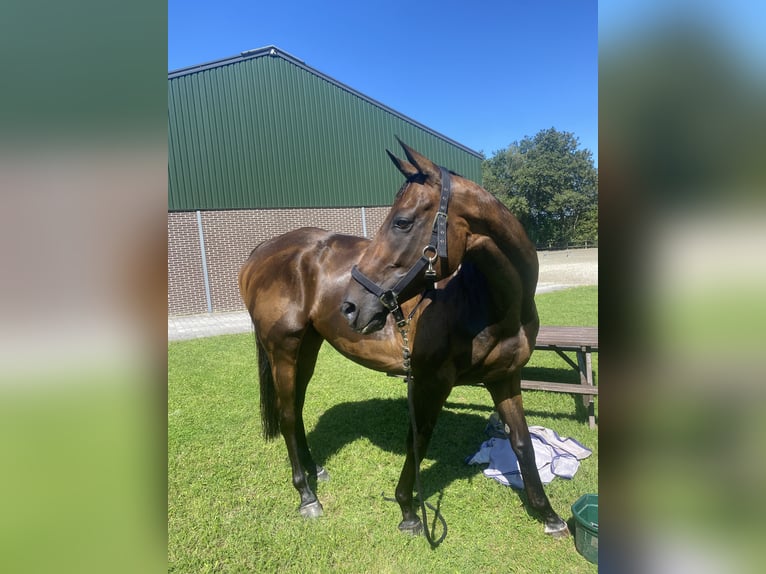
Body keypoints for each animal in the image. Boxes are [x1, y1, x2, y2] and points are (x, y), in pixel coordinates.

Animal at [240, 142, 568, 544]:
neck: (487, 301)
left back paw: (315, 470)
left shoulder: (504, 377)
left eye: (402, 222)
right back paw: (306, 495)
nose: (351, 307)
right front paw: (408, 511)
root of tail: (264, 249)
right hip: (283, 349)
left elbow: (522, 443)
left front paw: (548, 515)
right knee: (287, 415)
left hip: (308, 348)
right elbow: (419, 438)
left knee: (297, 409)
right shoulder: (432, 381)